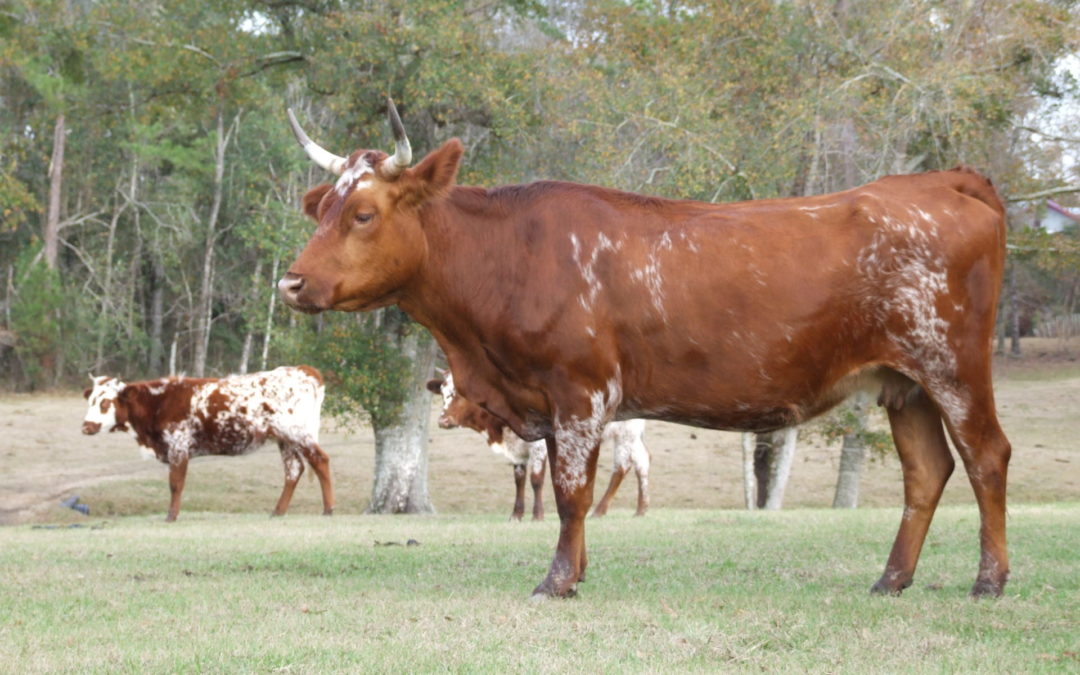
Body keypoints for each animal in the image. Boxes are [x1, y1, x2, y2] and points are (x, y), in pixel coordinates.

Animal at [82, 362, 332, 520]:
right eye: (90, 400)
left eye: (105, 402)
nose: (86, 426)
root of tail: (303, 370)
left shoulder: (178, 447)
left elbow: (176, 484)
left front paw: (171, 516)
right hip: (285, 439)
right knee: (294, 470)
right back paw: (278, 511)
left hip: (297, 432)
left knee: (320, 460)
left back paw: (328, 509)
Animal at [427, 371, 648, 518]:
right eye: (443, 392)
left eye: (462, 393)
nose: (442, 421)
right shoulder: (517, 448)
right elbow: (519, 479)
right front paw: (516, 515)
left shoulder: (538, 445)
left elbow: (536, 479)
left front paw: (537, 515)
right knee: (642, 461)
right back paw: (641, 509)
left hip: (626, 432)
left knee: (621, 467)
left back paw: (599, 511)